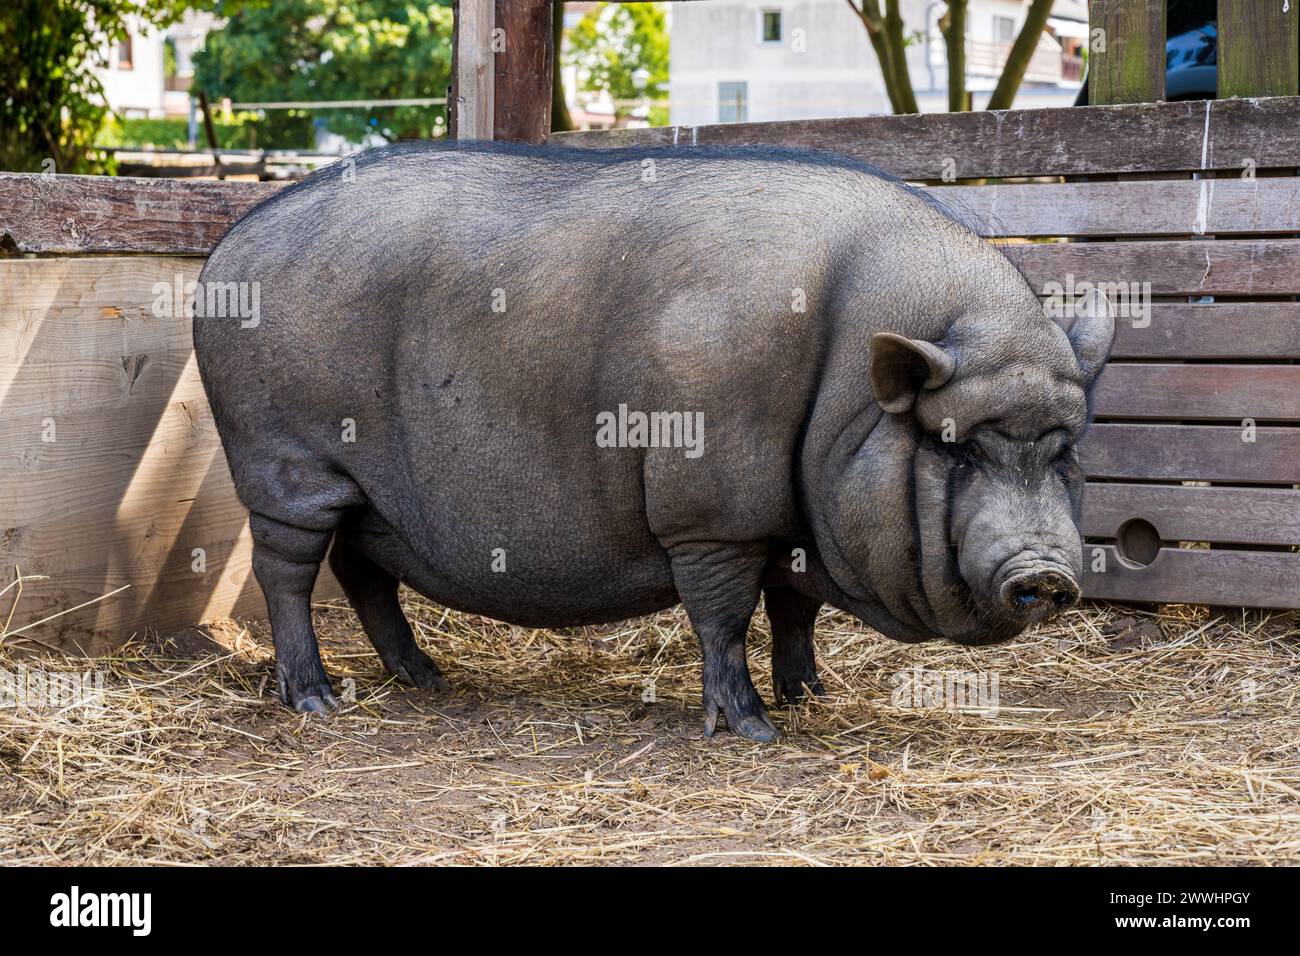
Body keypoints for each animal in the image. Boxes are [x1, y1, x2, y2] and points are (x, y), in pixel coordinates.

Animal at [194, 141, 1114, 742]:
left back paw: (425, 679)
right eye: (955, 445)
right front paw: (751, 730)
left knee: (362, 570)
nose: (1044, 572)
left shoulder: (795, 523)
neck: (844, 391)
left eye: (1064, 452)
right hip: (288, 463)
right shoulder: (712, 514)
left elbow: (795, 609)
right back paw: (318, 700)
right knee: (288, 573)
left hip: (366, 489)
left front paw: (812, 697)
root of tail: (224, 252)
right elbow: (724, 614)